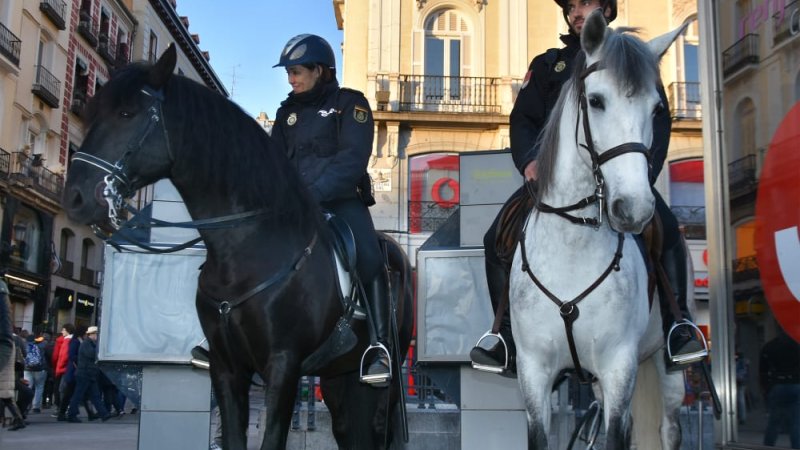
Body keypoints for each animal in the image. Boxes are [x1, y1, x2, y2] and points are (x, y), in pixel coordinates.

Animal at [61, 46, 412, 450]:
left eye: (126, 114)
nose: (76, 197)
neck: (246, 250)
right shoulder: (227, 367)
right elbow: (232, 436)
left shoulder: (283, 365)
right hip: (339, 374)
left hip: (379, 380)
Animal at [516, 11, 692, 450]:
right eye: (595, 101)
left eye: (657, 109)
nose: (634, 208)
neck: (573, 245)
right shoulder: (534, 372)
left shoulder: (618, 365)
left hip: (664, 368)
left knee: (668, 428)